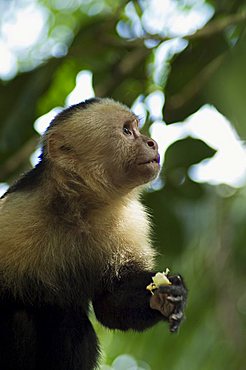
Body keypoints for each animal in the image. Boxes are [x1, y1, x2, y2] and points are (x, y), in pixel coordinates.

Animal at [0, 98, 187, 370]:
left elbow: (110, 304)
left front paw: (166, 297)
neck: (78, 209)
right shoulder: (14, 215)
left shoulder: (131, 220)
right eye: (127, 131)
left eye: (136, 129)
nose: (152, 142)